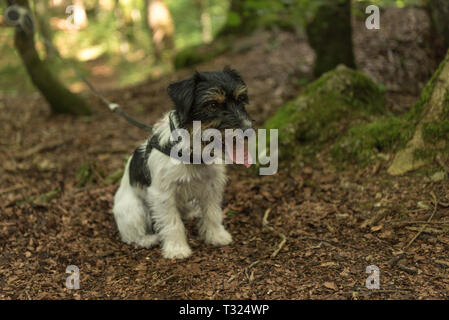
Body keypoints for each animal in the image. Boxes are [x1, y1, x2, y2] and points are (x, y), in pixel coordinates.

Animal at [112, 67, 252, 260]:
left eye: (241, 100)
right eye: (212, 104)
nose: (248, 131)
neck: (194, 151)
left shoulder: (211, 186)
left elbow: (212, 213)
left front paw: (216, 236)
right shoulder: (162, 194)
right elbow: (172, 223)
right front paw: (177, 249)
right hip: (134, 210)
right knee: (131, 236)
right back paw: (148, 239)